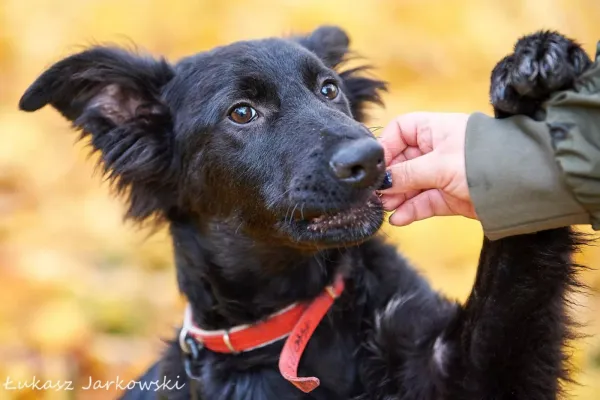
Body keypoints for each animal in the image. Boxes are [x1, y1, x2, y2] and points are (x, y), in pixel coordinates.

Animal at [18, 26, 592, 398]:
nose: (371, 158)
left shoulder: (464, 368)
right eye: (242, 113)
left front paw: (534, 72)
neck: (300, 326)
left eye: (329, 88)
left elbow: (517, 267)